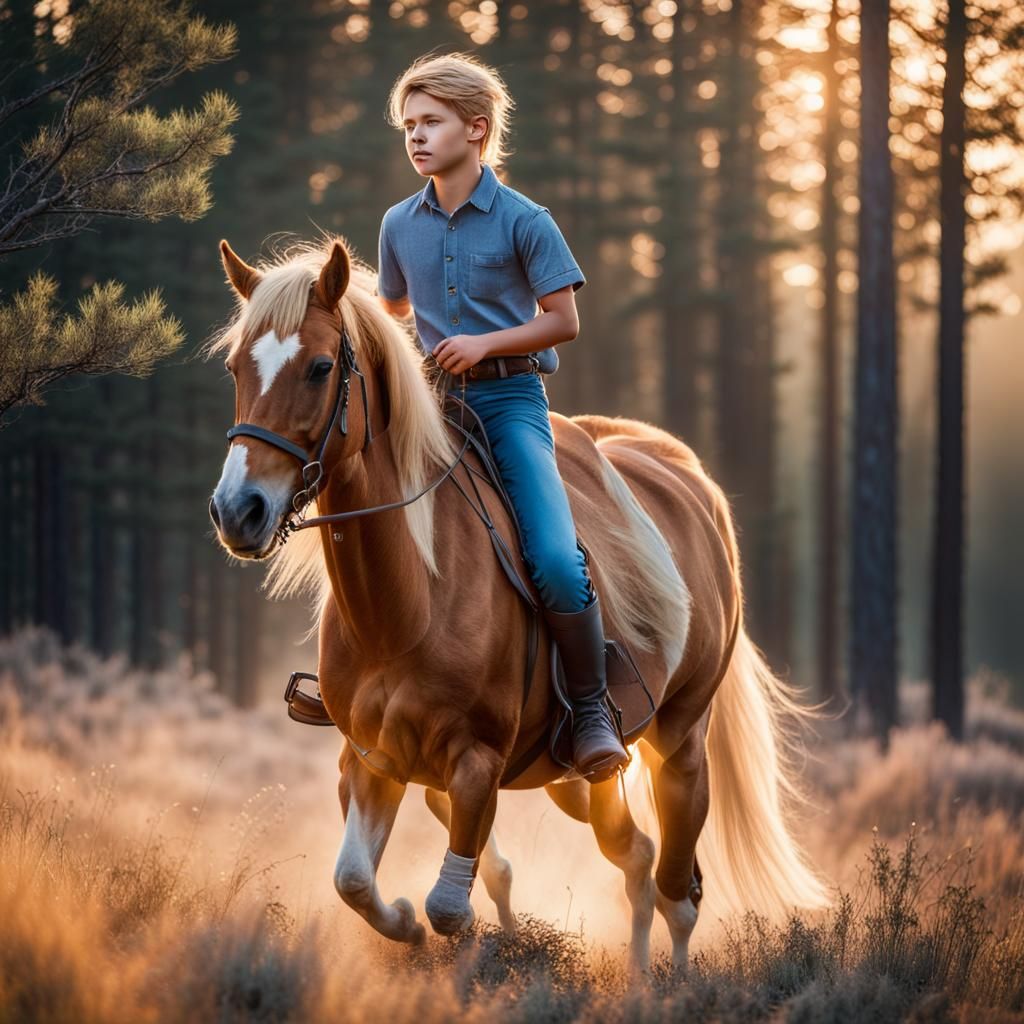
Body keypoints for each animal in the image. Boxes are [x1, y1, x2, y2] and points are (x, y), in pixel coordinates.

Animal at [207, 234, 831, 972]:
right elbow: (356, 881)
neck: (410, 604)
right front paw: (407, 926)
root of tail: (692, 481)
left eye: (320, 366)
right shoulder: (371, 758)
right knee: (637, 857)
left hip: (680, 745)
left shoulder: (475, 764)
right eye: (235, 367)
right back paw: (638, 975)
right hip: (575, 776)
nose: (237, 510)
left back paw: (671, 979)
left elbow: (451, 906)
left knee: (679, 891)